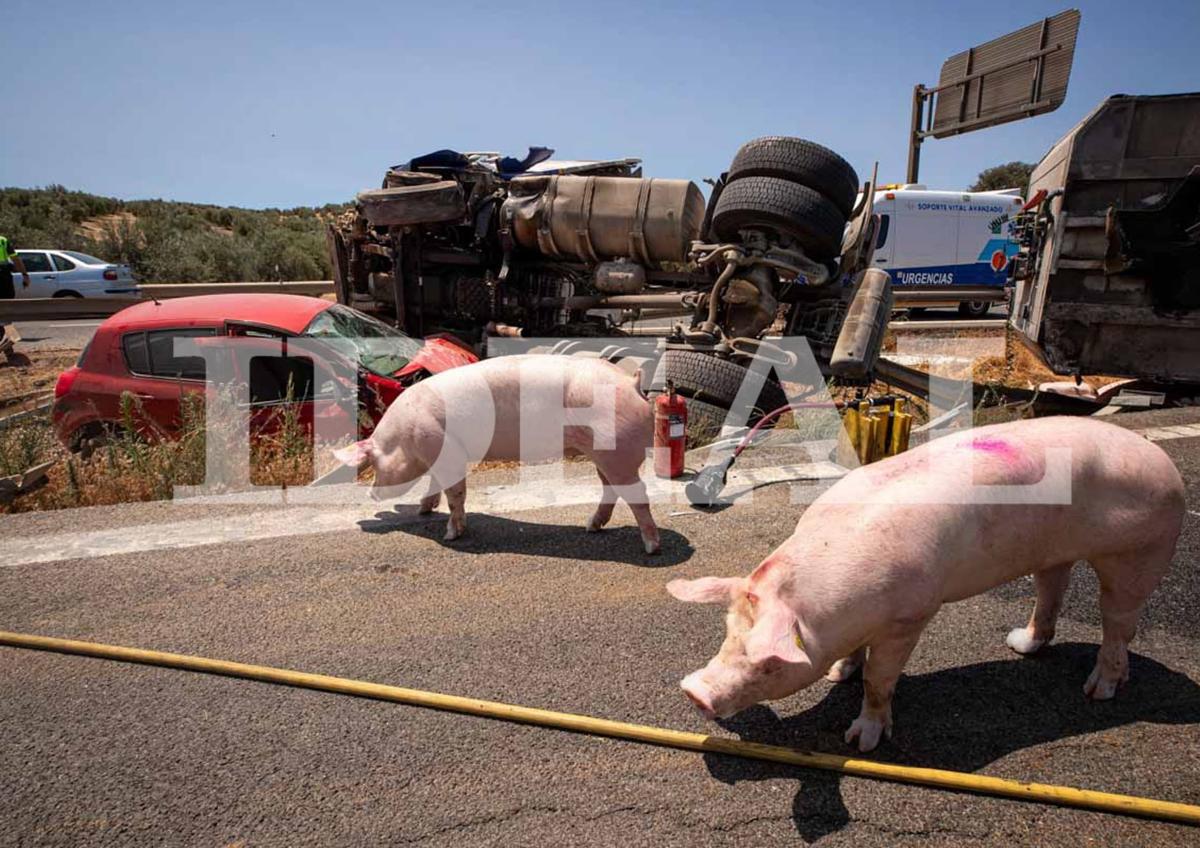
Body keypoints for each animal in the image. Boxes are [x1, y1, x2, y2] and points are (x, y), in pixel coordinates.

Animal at [333, 355, 662, 554]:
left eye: (375, 462)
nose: (371, 495)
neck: (404, 435)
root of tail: (631, 383)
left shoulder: (446, 451)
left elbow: (456, 494)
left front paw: (450, 535)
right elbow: (435, 486)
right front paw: (424, 510)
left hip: (616, 451)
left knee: (638, 495)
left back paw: (651, 547)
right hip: (603, 454)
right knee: (611, 489)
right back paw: (591, 527)